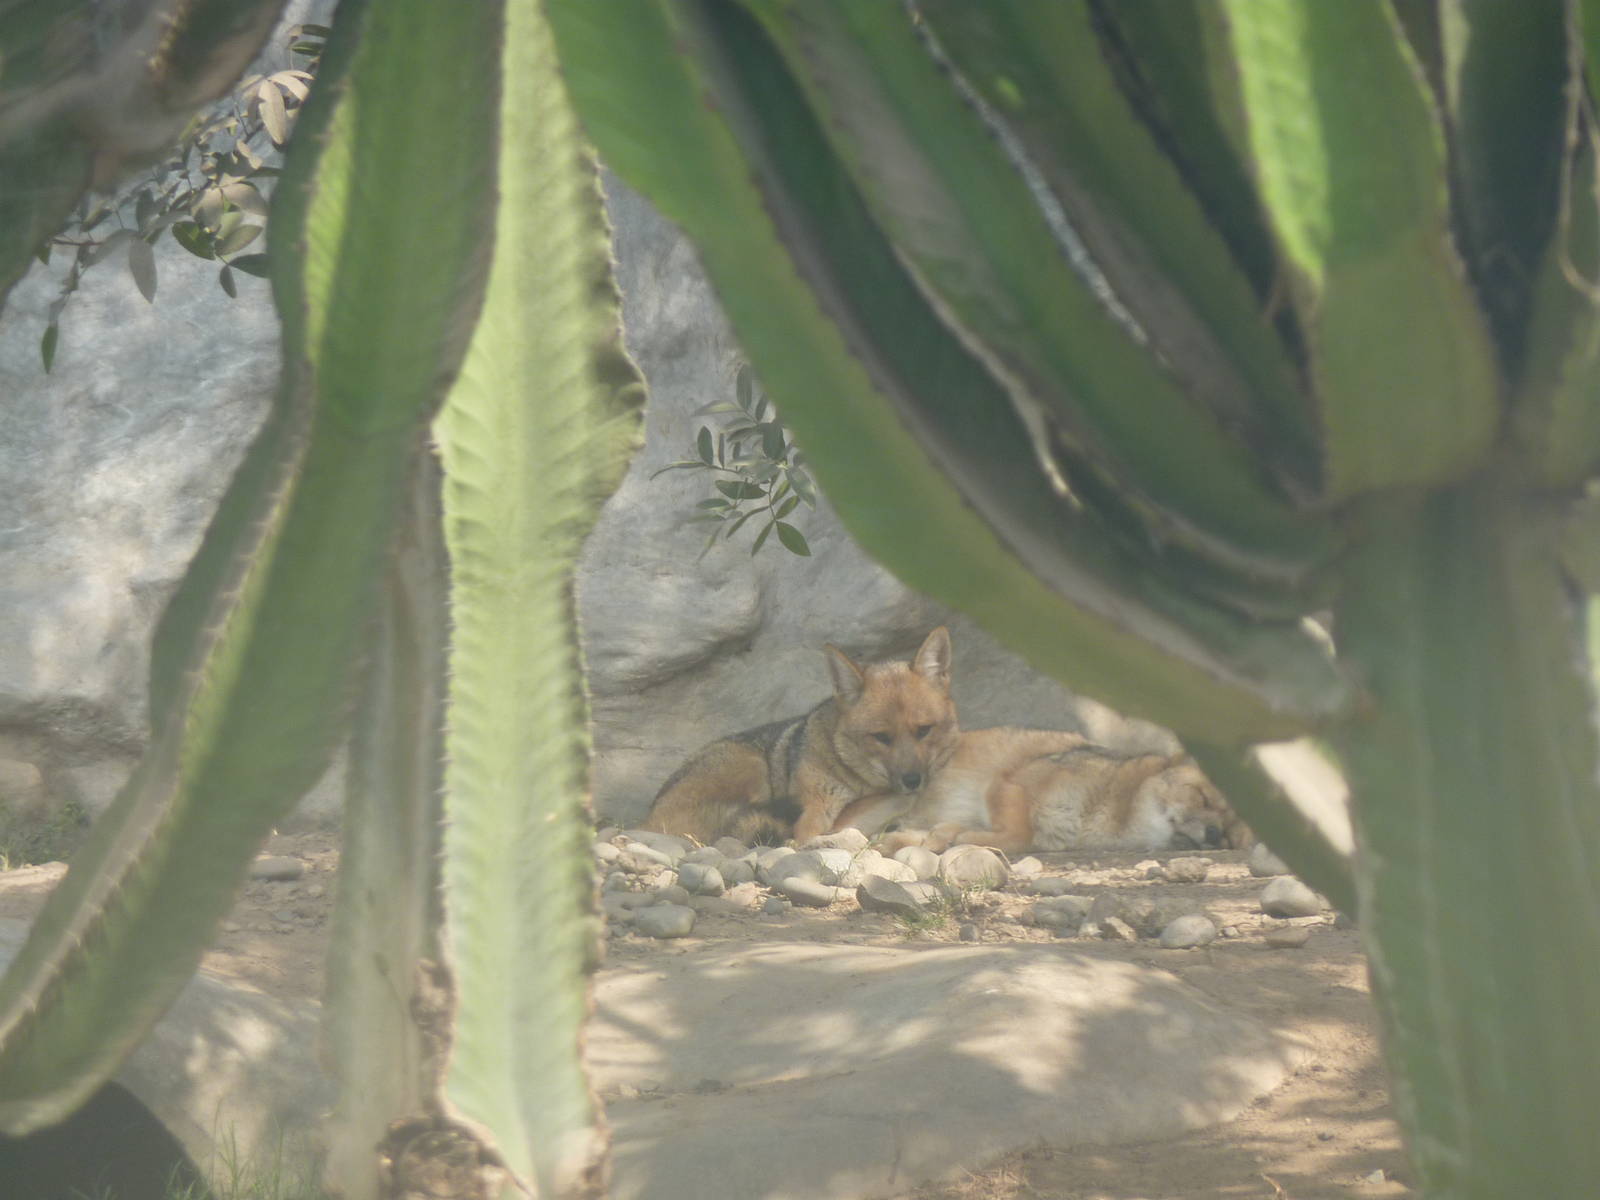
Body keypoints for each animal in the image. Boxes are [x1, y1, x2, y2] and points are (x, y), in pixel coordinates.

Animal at [641, 627, 961, 846]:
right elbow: (811, 834)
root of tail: (647, 820)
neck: (858, 783)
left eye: (924, 730)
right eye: (881, 737)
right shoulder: (813, 814)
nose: (912, 780)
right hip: (753, 767)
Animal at [835, 727, 1250, 856]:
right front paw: (960, 837)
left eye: (1230, 833)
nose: (1214, 834)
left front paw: (943, 836)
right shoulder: (1010, 781)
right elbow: (1019, 833)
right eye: (1202, 797)